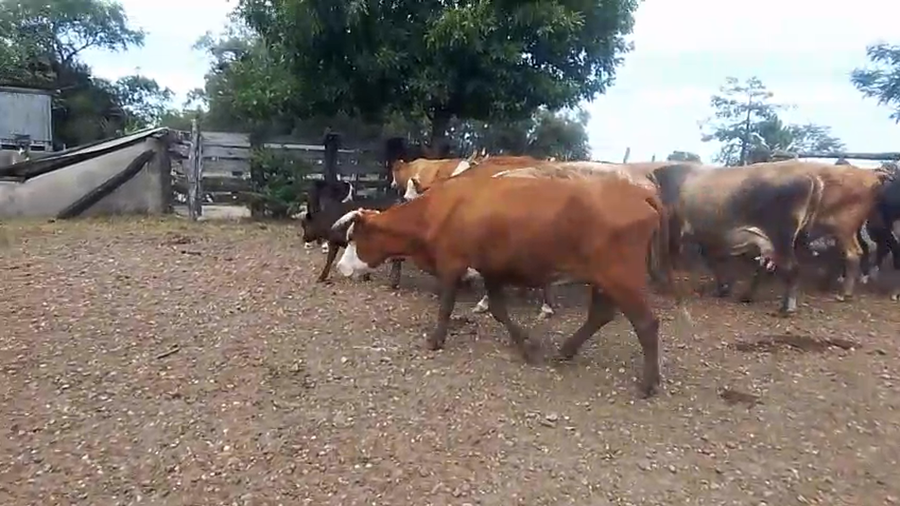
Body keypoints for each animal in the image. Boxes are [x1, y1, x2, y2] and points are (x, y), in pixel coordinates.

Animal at [330, 175, 693, 398]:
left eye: (353, 237)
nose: (340, 267)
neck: (442, 208)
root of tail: (639, 192)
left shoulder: (452, 263)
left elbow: (446, 305)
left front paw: (435, 340)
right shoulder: (491, 270)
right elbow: (498, 310)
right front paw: (527, 346)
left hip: (621, 278)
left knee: (646, 324)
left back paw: (647, 383)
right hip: (604, 279)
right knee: (601, 315)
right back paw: (566, 350)